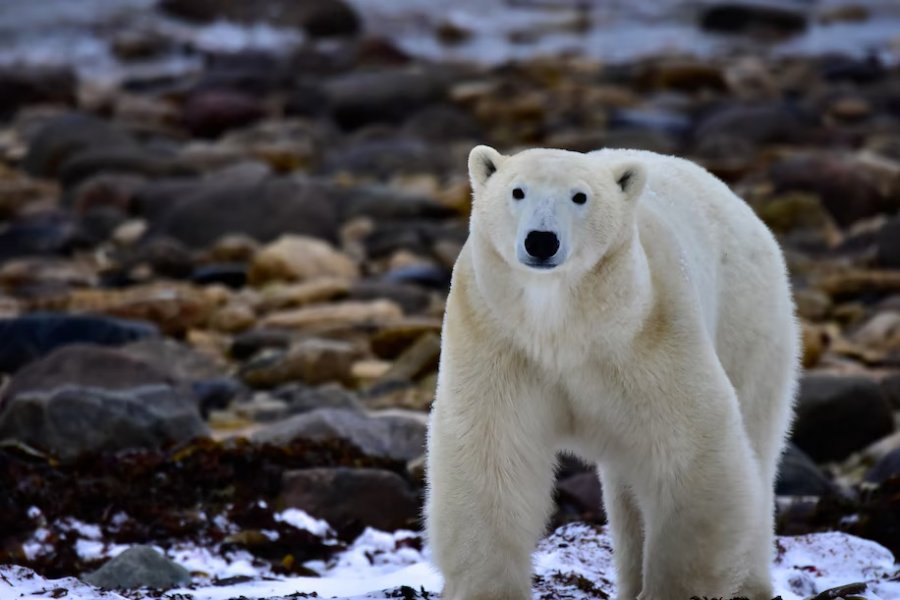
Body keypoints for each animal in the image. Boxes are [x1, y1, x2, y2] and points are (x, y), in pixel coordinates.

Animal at [426, 146, 800, 600]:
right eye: (517, 191)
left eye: (580, 196)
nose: (541, 240)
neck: (562, 327)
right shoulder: (497, 337)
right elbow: (491, 455)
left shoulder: (648, 335)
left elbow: (693, 451)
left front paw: (673, 589)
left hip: (746, 319)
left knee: (757, 450)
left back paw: (750, 584)